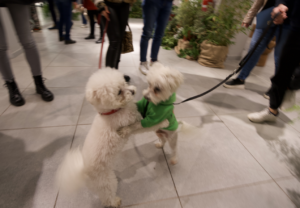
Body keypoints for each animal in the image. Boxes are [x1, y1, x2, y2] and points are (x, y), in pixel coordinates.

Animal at [56, 69, 169, 207]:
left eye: (124, 81)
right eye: (119, 92)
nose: (133, 91)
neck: (112, 111)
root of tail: (83, 171)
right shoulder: (131, 126)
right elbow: (149, 125)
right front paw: (164, 122)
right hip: (106, 182)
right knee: (107, 197)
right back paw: (115, 201)